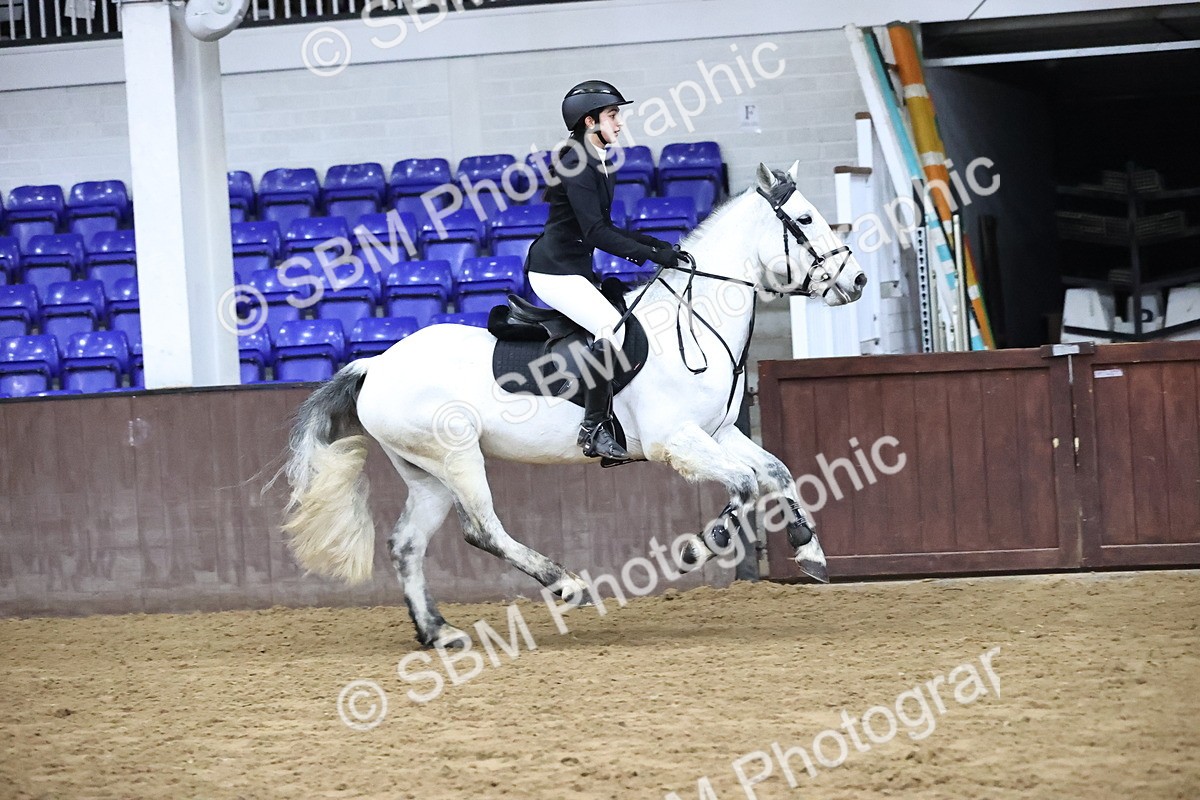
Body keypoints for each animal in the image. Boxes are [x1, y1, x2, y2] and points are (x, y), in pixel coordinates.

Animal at [280, 161, 867, 647]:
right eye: (806, 219)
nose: (857, 280)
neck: (695, 318)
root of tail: (376, 364)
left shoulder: (718, 433)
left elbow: (777, 470)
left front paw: (809, 550)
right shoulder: (675, 441)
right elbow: (745, 483)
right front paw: (703, 545)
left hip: (426, 473)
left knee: (407, 544)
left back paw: (439, 632)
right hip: (456, 456)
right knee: (483, 529)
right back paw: (565, 585)